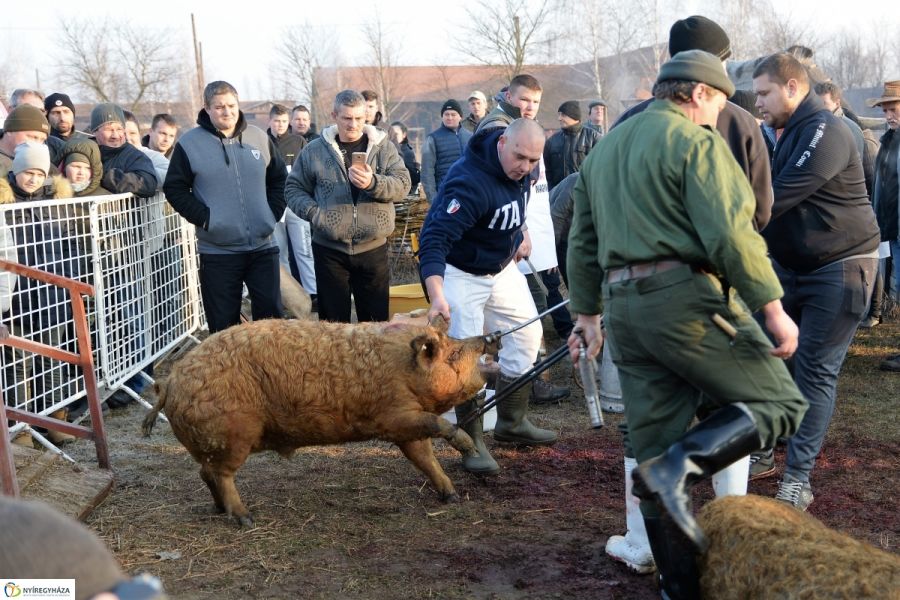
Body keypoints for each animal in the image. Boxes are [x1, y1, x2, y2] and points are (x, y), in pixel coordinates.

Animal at [142, 316, 496, 528]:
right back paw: (246, 519)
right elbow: (437, 427)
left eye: (454, 341)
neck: (403, 370)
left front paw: (452, 496)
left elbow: (424, 459)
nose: (488, 338)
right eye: (452, 353)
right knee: (221, 474)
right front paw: (467, 448)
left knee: (205, 472)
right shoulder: (393, 416)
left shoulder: (406, 426)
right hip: (233, 434)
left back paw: (221, 510)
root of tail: (170, 381)